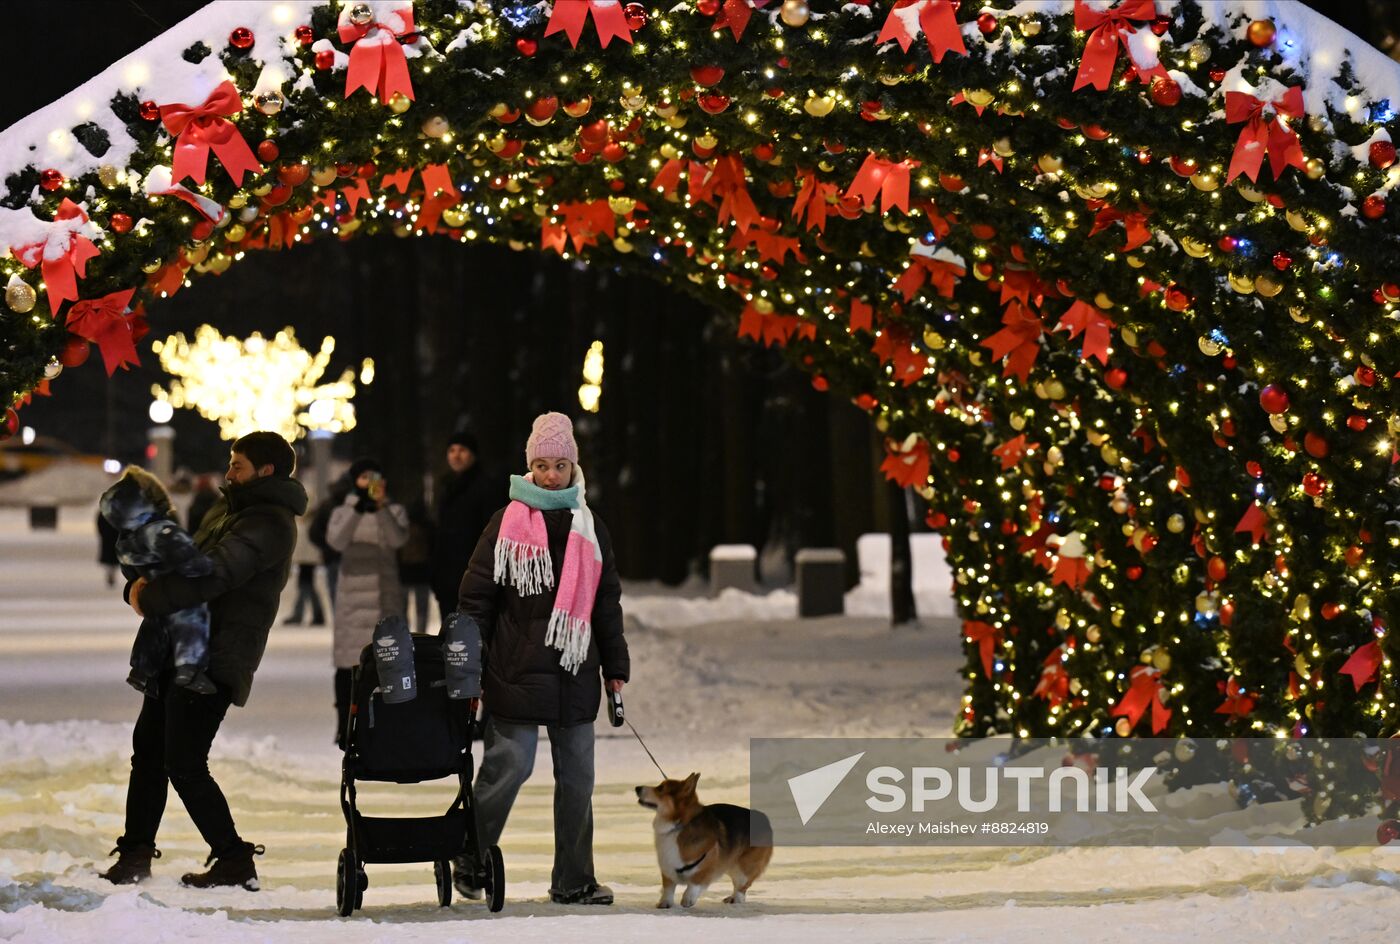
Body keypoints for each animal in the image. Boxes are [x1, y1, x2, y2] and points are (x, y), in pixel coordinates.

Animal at [638, 773, 778, 901]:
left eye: (660, 788)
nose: (637, 788)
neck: (680, 824)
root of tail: (765, 819)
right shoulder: (668, 868)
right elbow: (668, 889)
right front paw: (664, 904)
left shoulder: (708, 866)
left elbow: (695, 884)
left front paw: (688, 899)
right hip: (731, 864)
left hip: (743, 868)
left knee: (741, 887)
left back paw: (736, 900)